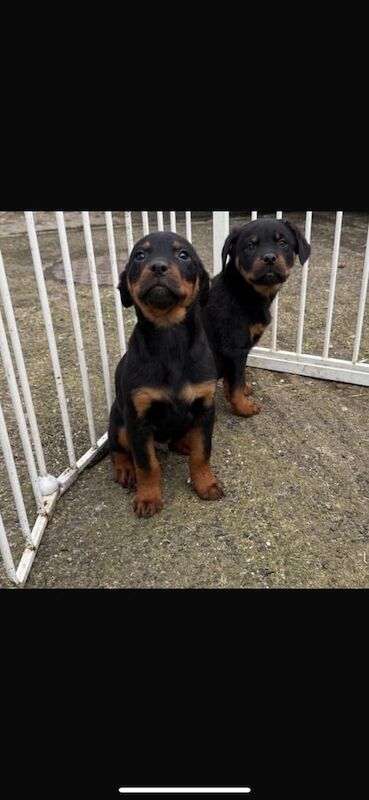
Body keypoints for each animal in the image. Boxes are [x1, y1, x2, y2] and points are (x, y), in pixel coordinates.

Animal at [108, 231, 223, 520]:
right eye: (140, 255)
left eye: (183, 255)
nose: (158, 267)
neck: (169, 336)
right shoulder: (138, 420)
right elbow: (147, 464)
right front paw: (148, 498)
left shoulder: (205, 408)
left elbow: (202, 453)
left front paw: (206, 483)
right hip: (119, 421)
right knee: (117, 447)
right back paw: (124, 468)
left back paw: (184, 442)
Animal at [201, 219, 310, 418]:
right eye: (249, 246)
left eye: (283, 243)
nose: (269, 258)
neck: (244, 291)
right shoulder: (235, 349)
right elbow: (236, 380)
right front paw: (244, 408)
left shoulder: (236, 353)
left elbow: (234, 379)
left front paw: (239, 393)